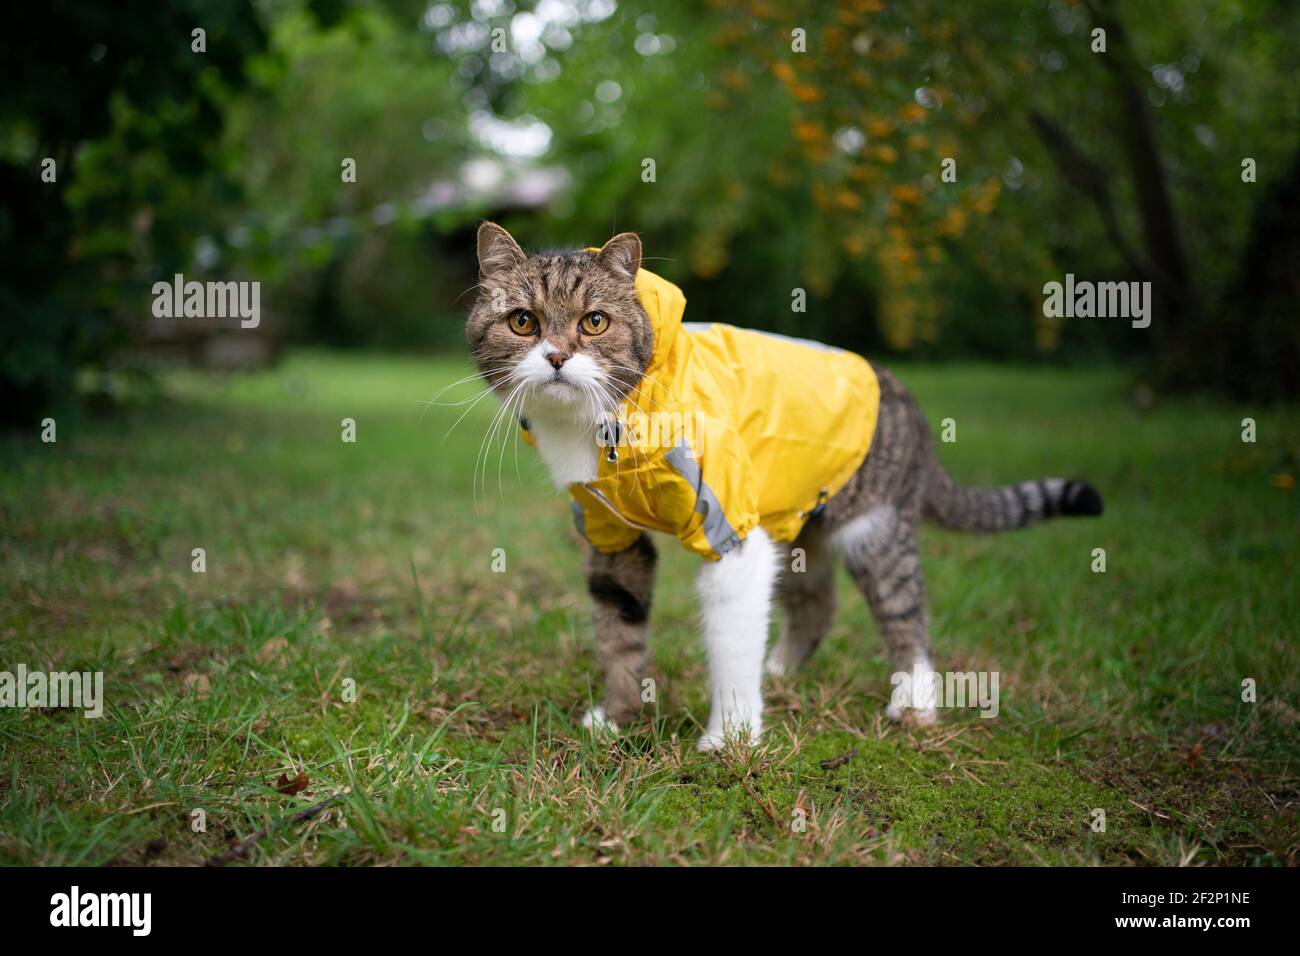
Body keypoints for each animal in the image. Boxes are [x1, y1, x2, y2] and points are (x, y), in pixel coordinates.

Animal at [462, 221, 1102, 749]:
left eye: (594, 321)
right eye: (523, 321)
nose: (557, 357)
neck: (611, 421)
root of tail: (912, 408)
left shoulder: (733, 532)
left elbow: (730, 643)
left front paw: (730, 739)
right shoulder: (611, 535)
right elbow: (619, 630)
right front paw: (617, 718)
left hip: (873, 530)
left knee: (906, 611)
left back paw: (914, 704)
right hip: (796, 525)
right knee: (818, 603)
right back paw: (781, 673)